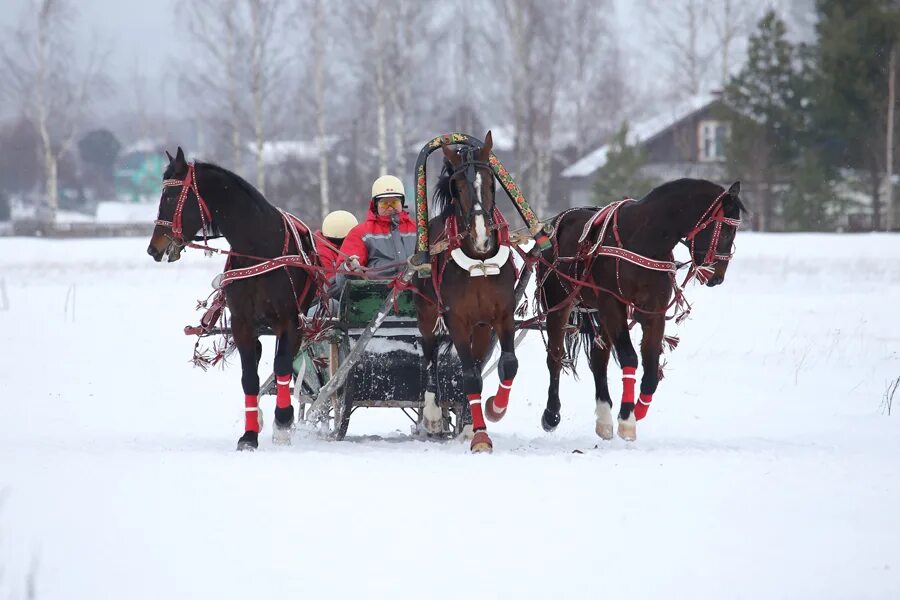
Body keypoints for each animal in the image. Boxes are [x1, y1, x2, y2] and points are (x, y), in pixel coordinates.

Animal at [145, 148, 320, 450]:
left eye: (169, 197)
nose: (153, 248)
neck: (259, 250)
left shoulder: (290, 321)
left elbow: (282, 365)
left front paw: (283, 421)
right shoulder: (243, 324)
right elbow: (249, 378)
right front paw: (249, 435)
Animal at [414, 130, 520, 450]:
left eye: (490, 181)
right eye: (458, 186)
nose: (482, 237)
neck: (480, 262)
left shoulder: (502, 316)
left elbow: (508, 364)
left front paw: (493, 410)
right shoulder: (457, 320)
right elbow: (470, 376)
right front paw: (481, 437)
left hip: (482, 327)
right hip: (426, 314)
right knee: (430, 355)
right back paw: (433, 414)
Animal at [536, 178, 740, 440]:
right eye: (725, 230)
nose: (718, 277)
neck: (644, 239)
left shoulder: (653, 311)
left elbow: (651, 366)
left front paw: (638, 410)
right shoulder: (613, 304)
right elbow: (630, 357)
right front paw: (626, 418)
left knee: (598, 358)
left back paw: (604, 418)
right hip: (558, 302)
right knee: (555, 356)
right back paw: (551, 414)